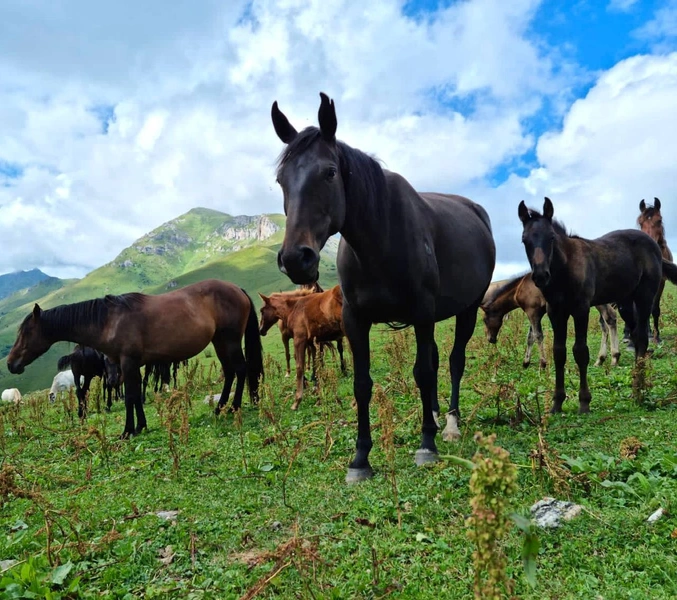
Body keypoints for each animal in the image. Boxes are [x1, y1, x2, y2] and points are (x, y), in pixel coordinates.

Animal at [5, 278, 264, 438]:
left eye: (26, 332)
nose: (10, 363)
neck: (109, 320)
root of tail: (237, 289)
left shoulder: (128, 363)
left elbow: (130, 396)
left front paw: (128, 431)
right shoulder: (130, 366)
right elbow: (137, 395)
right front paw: (141, 425)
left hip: (230, 341)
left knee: (240, 370)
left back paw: (233, 408)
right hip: (220, 342)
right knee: (230, 372)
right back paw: (220, 408)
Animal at [270, 92, 496, 482]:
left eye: (329, 172)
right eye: (281, 179)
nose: (296, 258)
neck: (379, 240)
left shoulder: (422, 311)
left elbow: (423, 372)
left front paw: (426, 444)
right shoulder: (355, 320)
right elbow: (363, 384)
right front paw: (360, 458)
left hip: (465, 311)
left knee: (454, 361)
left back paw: (449, 424)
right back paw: (434, 415)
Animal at [478, 274, 620, 368]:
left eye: (485, 320)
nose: (490, 339)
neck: (519, 288)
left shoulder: (532, 311)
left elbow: (537, 336)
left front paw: (543, 363)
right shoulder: (536, 313)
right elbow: (530, 337)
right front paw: (526, 362)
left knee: (610, 318)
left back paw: (614, 357)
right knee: (605, 324)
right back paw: (601, 359)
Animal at [632, 199, 672, 344]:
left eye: (659, 220)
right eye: (640, 222)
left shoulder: (661, 282)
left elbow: (655, 308)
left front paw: (657, 336)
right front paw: (649, 333)